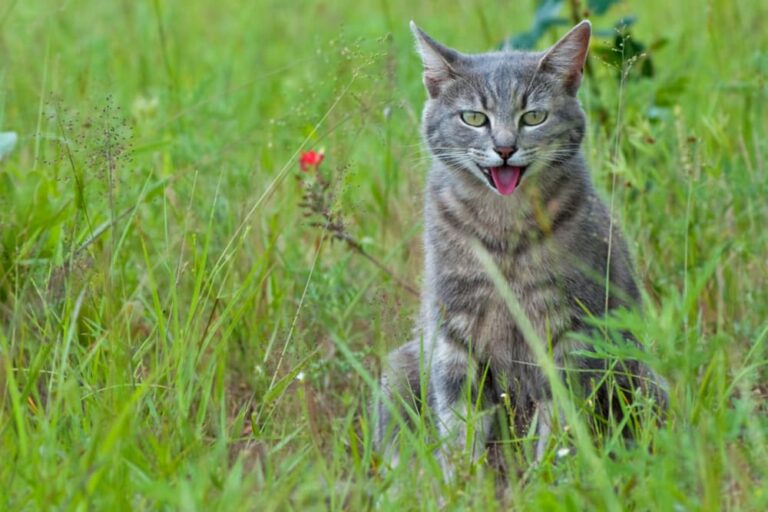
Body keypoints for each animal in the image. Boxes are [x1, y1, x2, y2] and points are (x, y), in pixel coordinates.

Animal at [374, 20, 664, 476]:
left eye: (534, 117)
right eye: (474, 118)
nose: (506, 148)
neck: (503, 230)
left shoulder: (568, 331)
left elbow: (562, 426)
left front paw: (554, 478)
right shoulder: (455, 333)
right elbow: (459, 426)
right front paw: (462, 483)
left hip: (643, 379)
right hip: (400, 371)